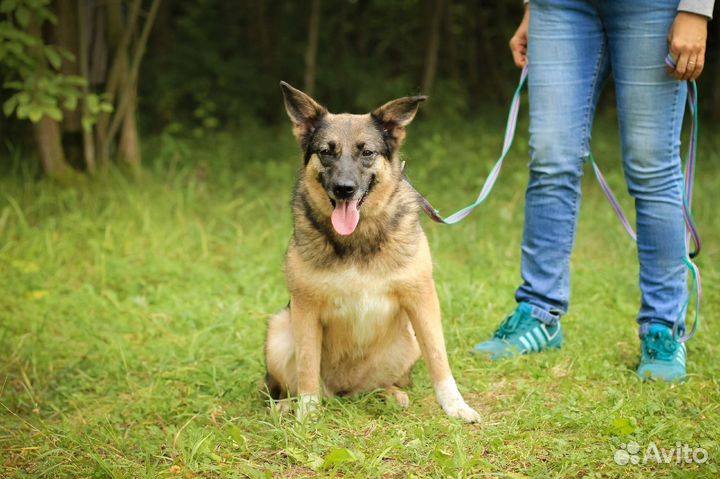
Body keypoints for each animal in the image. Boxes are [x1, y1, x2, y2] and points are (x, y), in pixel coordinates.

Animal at [262, 81, 480, 424]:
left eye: (367, 152)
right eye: (326, 151)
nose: (344, 189)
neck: (357, 239)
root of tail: (344, 393)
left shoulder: (422, 300)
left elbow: (439, 359)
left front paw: (455, 406)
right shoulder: (305, 309)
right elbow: (307, 368)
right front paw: (307, 417)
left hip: (408, 339)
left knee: (381, 384)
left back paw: (391, 395)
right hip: (280, 328)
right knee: (292, 386)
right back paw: (288, 406)